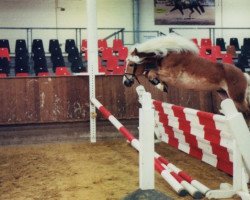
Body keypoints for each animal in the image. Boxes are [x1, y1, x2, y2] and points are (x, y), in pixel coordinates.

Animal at [122, 34, 250, 115]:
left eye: (131, 64)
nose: (125, 82)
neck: (166, 55)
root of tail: (244, 75)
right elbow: (149, 73)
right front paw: (161, 86)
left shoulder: (171, 76)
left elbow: (150, 72)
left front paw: (159, 84)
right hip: (224, 94)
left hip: (237, 98)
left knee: (246, 112)